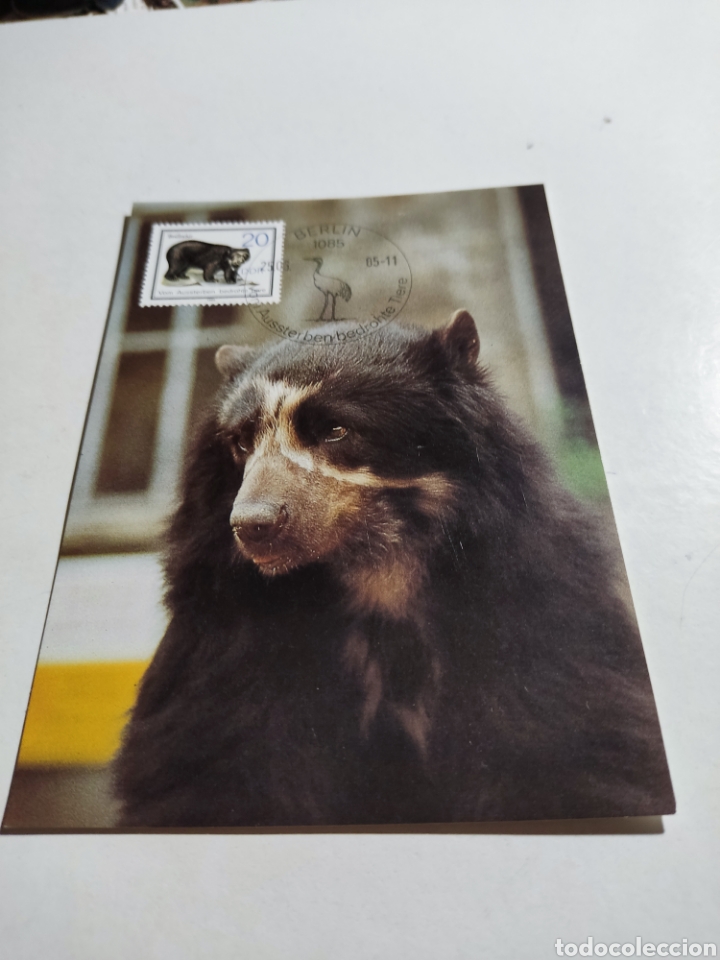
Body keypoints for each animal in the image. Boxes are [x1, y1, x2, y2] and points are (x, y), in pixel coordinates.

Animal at [113, 311, 674, 827]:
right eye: (242, 442)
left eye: (335, 431)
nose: (254, 525)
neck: (378, 568)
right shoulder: (227, 637)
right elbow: (213, 763)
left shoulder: (534, 609)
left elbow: (570, 746)